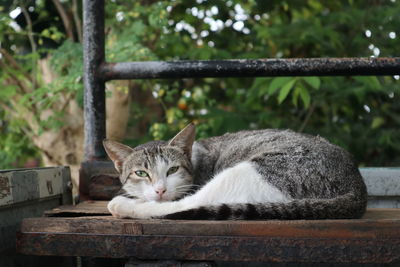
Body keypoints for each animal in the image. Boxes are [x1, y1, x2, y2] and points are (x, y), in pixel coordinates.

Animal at [102, 123, 366, 220]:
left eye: (173, 169)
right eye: (141, 173)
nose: (160, 190)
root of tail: (357, 184)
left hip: (254, 170)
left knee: (189, 204)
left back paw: (123, 205)